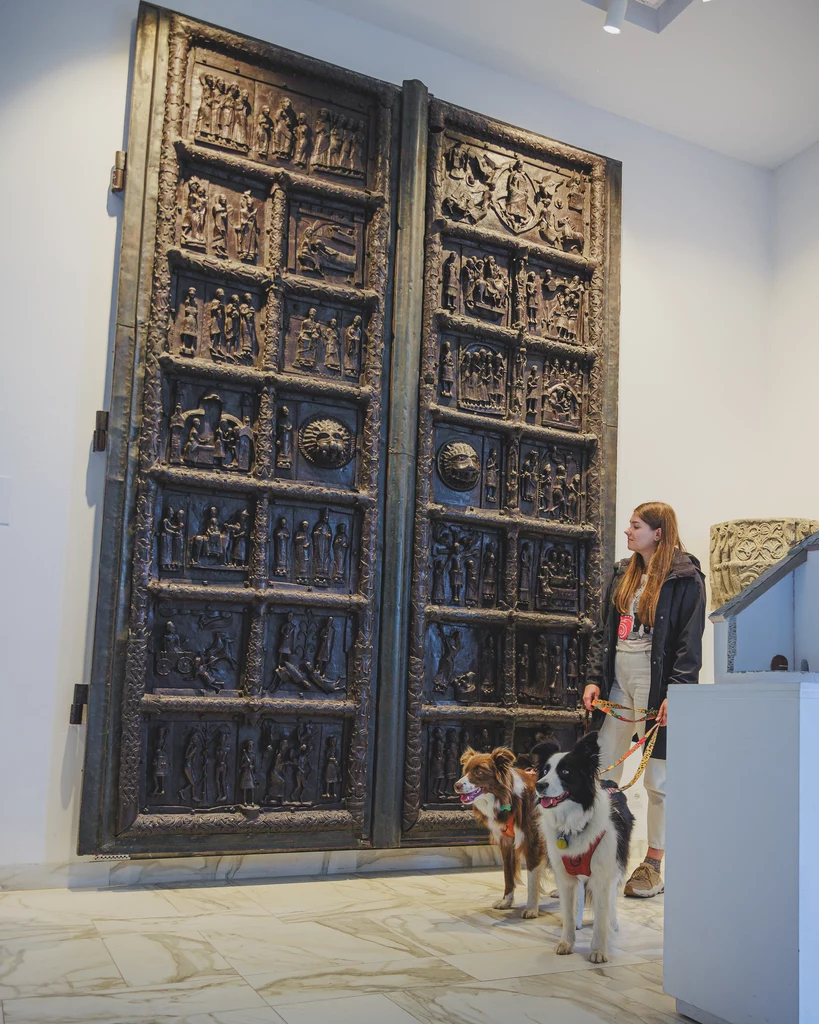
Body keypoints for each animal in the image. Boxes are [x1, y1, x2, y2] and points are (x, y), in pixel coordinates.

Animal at [456, 745, 548, 921]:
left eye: (479, 771)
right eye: (465, 770)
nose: (456, 785)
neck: (508, 797)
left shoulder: (534, 841)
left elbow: (532, 878)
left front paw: (531, 909)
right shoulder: (506, 841)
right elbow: (507, 873)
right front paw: (506, 901)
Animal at [532, 733, 634, 962]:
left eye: (565, 771)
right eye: (545, 771)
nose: (539, 785)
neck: (574, 824)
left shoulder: (602, 873)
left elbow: (601, 913)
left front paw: (598, 951)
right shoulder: (565, 875)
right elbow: (569, 911)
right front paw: (566, 942)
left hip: (616, 864)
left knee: (612, 897)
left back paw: (613, 923)